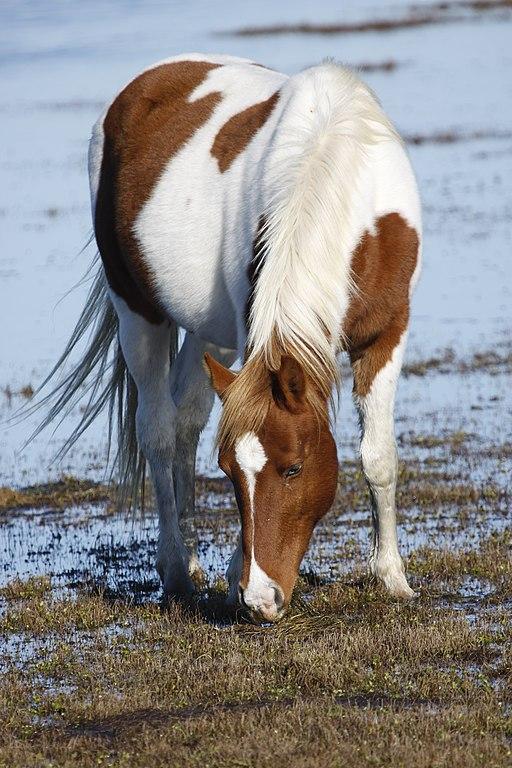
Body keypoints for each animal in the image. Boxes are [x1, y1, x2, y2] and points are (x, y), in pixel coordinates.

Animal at [36, 53, 422, 623]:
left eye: (293, 468)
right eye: (230, 473)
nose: (260, 598)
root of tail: (141, 85)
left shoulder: (387, 332)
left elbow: (377, 454)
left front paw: (391, 577)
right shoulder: (252, 327)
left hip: (206, 333)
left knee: (187, 421)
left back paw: (193, 561)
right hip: (138, 312)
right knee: (158, 430)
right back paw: (176, 570)